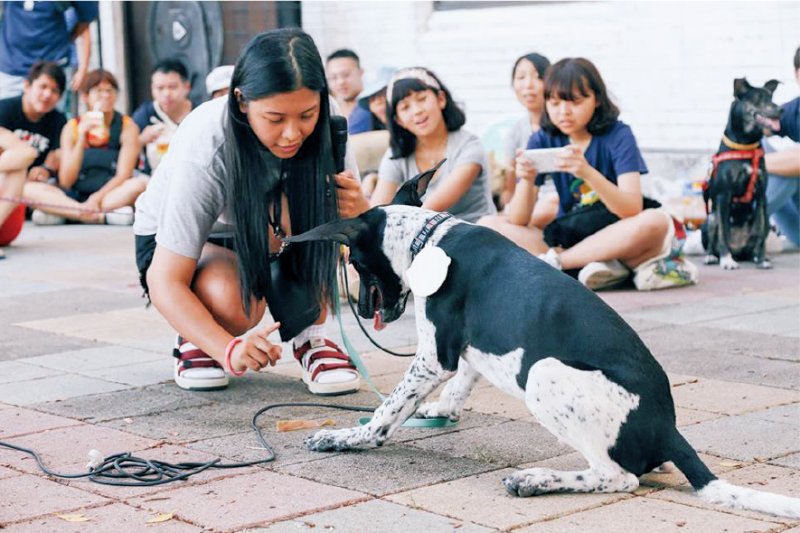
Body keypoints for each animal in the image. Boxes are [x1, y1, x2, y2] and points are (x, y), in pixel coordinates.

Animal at [288, 169, 800, 516]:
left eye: (354, 261)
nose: (359, 305)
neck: (426, 239)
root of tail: (668, 429)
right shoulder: (468, 346)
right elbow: (463, 380)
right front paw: (441, 410)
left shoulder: (435, 355)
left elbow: (387, 411)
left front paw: (347, 437)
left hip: (543, 373)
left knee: (618, 478)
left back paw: (538, 480)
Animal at [704, 77, 780, 268]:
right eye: (758, 98)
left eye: (771, 97)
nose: (781, 110)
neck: (747, 143)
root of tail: (739, 251)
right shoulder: (724, 195)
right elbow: (723, 233)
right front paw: (726, 260)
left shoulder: (761, 196)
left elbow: (760, 234)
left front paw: (762, 259)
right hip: (711, 218)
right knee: (714, 239)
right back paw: (712, 256)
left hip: (766, 217)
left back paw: (757, 256)